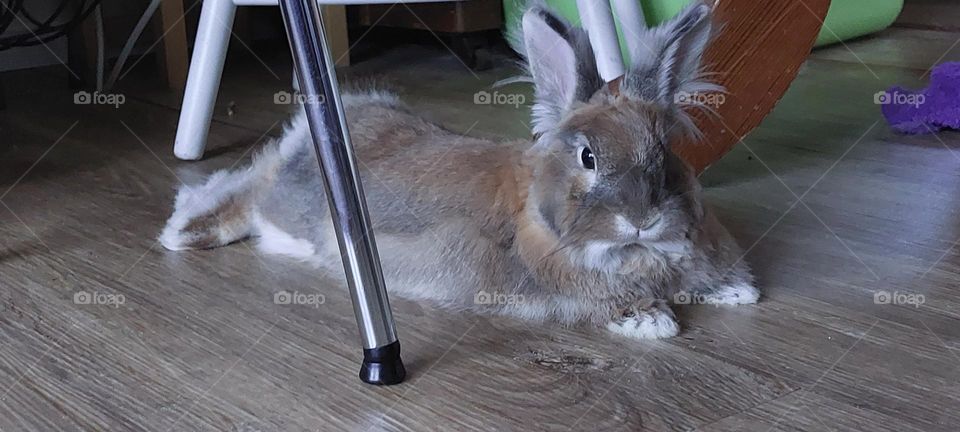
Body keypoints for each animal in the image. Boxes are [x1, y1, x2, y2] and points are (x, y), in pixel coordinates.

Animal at [160, 2, 757, 340]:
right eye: (587, 156)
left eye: (665, 150)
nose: (642, 219)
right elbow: (608, 304)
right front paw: (654, 322)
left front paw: (738, 293)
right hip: (287, 202)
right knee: (243, 189)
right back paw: (184, 233)